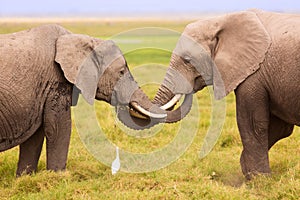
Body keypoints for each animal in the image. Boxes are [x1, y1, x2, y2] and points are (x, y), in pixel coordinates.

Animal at [0, 24, 166, 176]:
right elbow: (58, 128)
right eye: (121, 72)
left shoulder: (42, 91)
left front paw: (24, 178)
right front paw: (59, 177)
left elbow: (35, 135)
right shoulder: (55, 81)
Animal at [125, 9, 298, 179]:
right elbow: (281, 128)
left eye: (187, 60)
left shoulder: (255, 74)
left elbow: (253, 124)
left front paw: (258, 179)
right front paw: (248, 170)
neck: (221, 20)